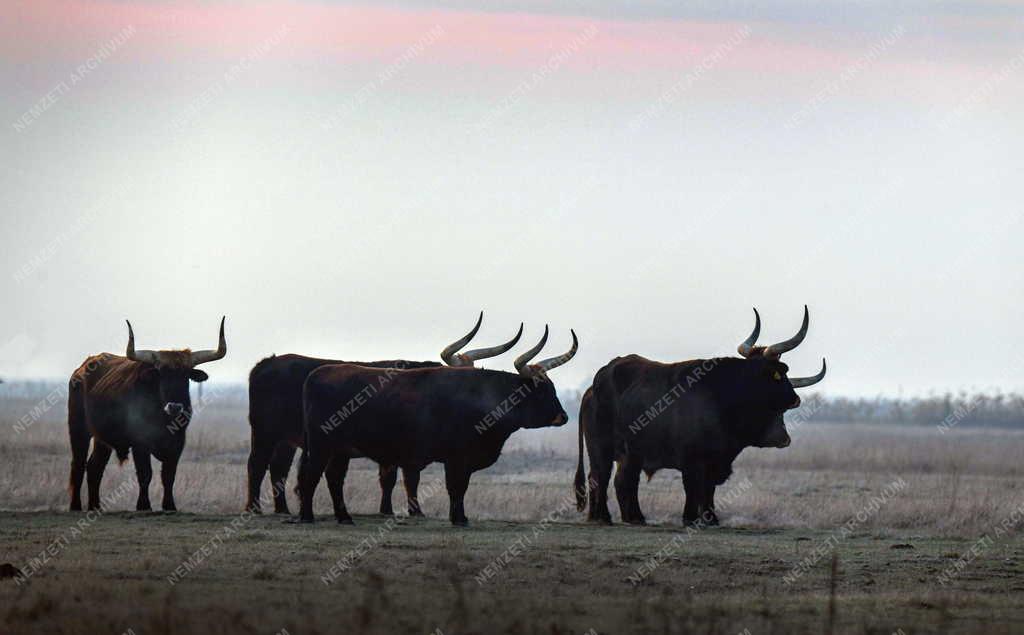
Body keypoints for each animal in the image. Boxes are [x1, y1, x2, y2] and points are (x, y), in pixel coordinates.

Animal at [249, 354, 442, 514]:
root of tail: (268, 362)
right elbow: (405, 479)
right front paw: (407, 511)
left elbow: (391, 480)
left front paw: (388, 510)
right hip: (264, 433)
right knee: (256, 465)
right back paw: (253, 508)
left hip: (284, 441)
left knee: (278, 468)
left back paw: (282, 509)